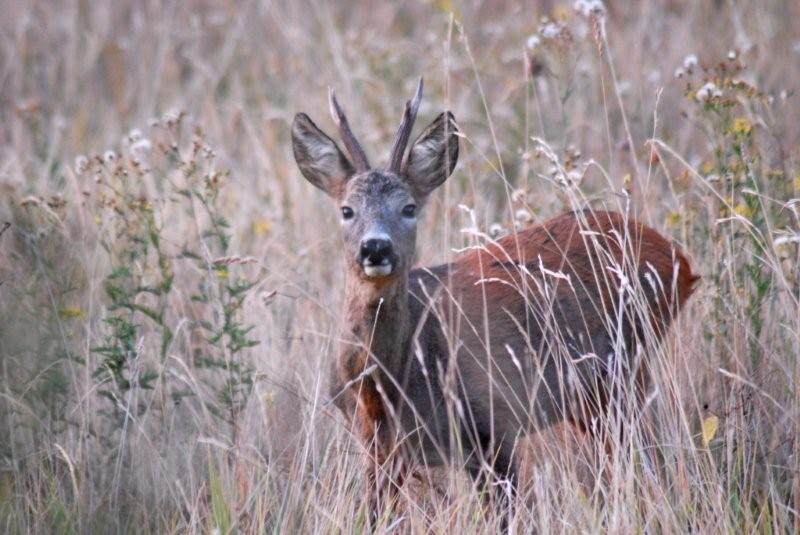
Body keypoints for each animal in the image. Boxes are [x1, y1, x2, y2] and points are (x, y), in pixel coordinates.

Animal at [290, 77, 696, 520]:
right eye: (346, 210)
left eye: (409, 207)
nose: (375, 248)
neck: (384, 387)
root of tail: (678, 258)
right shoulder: (380, 447)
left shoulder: (492, 424)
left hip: (623, 370)